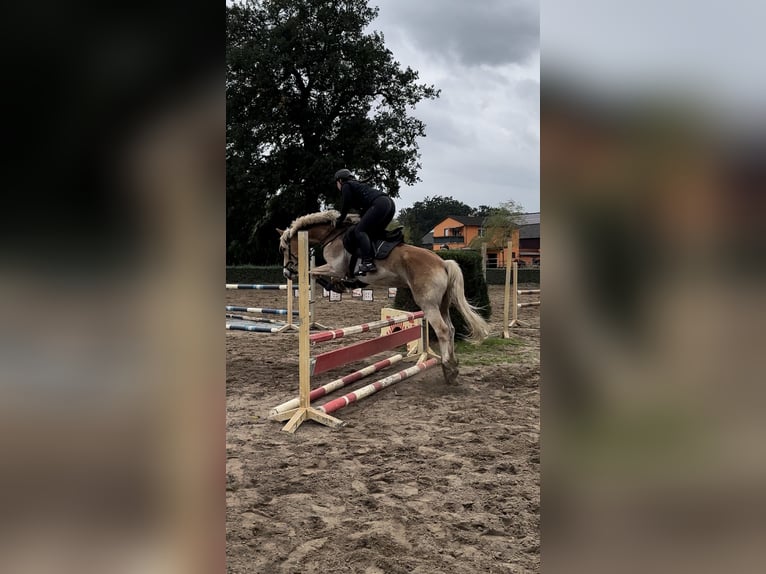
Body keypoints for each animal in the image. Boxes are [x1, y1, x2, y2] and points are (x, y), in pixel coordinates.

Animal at [278, 209, 492, 384]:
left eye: (283, 249)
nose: (287, 273)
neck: (333, 235)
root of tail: (443, 263)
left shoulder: (335, 268)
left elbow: (312, 272)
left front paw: (335, 286)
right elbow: (316, 273)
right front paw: (341, 285)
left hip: (428, 304)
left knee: (443, 330)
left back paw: (448, 369)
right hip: (442, 304)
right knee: (452, 328)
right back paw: (453, 364)